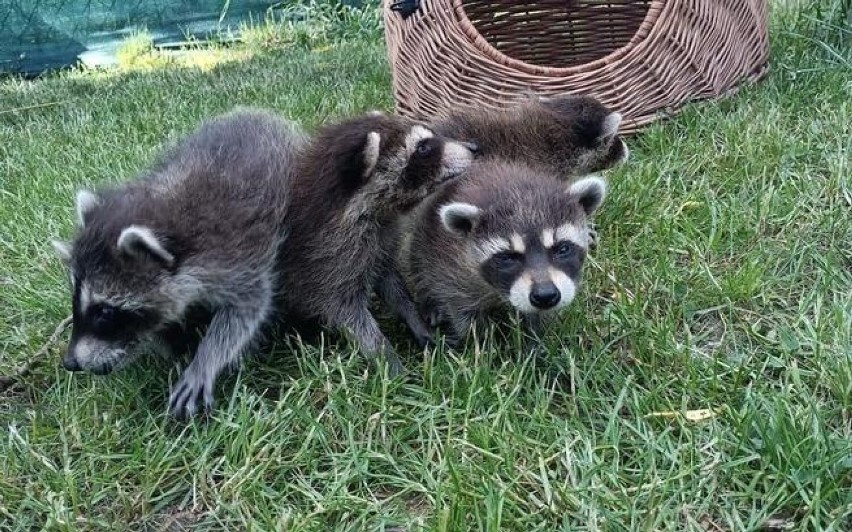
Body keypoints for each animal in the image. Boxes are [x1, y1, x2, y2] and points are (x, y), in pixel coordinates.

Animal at [50, 109, 302, 416]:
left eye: (105, 312)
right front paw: (169, 343)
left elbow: (245, 311)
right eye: (74, 298)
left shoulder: (239, 258)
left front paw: (206, 359)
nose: (70, 363)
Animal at [282, 113, 476, 374]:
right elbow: (348, 314)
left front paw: (415, 319)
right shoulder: (327, 260)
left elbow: (392, 284)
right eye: (423, 148)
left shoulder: (380, 242)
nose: (474, 146)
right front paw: (387, 360)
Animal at [406, 161, 604, 344]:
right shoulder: (449, 263)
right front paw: (477, 341)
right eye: (508, 257)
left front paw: (536, 340)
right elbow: (461, 310)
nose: (545, 296)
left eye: (563, 249)